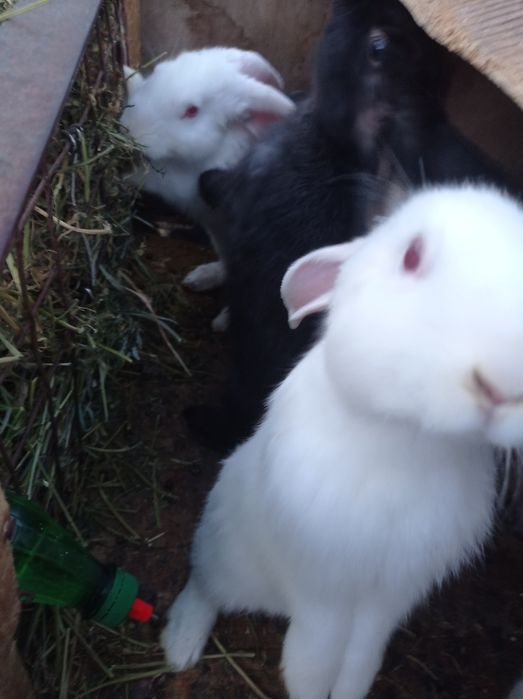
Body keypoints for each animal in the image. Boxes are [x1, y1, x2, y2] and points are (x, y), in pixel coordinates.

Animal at [162, 183, 523, 699]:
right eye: (411, 255)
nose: (501, 384)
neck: (409, 440)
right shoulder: (324, 591)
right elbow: (310, 662)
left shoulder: (390, 595)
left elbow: (360, 661)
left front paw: (350, 690)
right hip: (222, 552)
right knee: (203, 584)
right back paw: (180, 646)